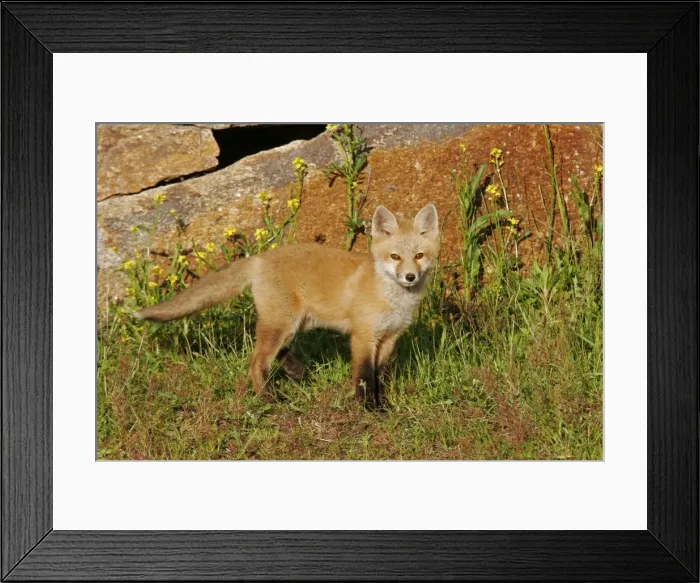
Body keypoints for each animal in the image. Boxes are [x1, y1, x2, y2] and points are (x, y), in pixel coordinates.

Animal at [133, 203, 440, 409]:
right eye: (395, 257)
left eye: (419, 256)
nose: (410, 277)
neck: (392, 300)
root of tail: (260, 257)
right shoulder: (363, 337)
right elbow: (365, 377)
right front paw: (368, 408)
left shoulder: (389, 339)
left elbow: (381, 376)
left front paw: (383, 403)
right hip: (281, 323)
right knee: (257, 361)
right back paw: (269, 398)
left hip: (291, 323)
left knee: (275, 351)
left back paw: (295, 371)